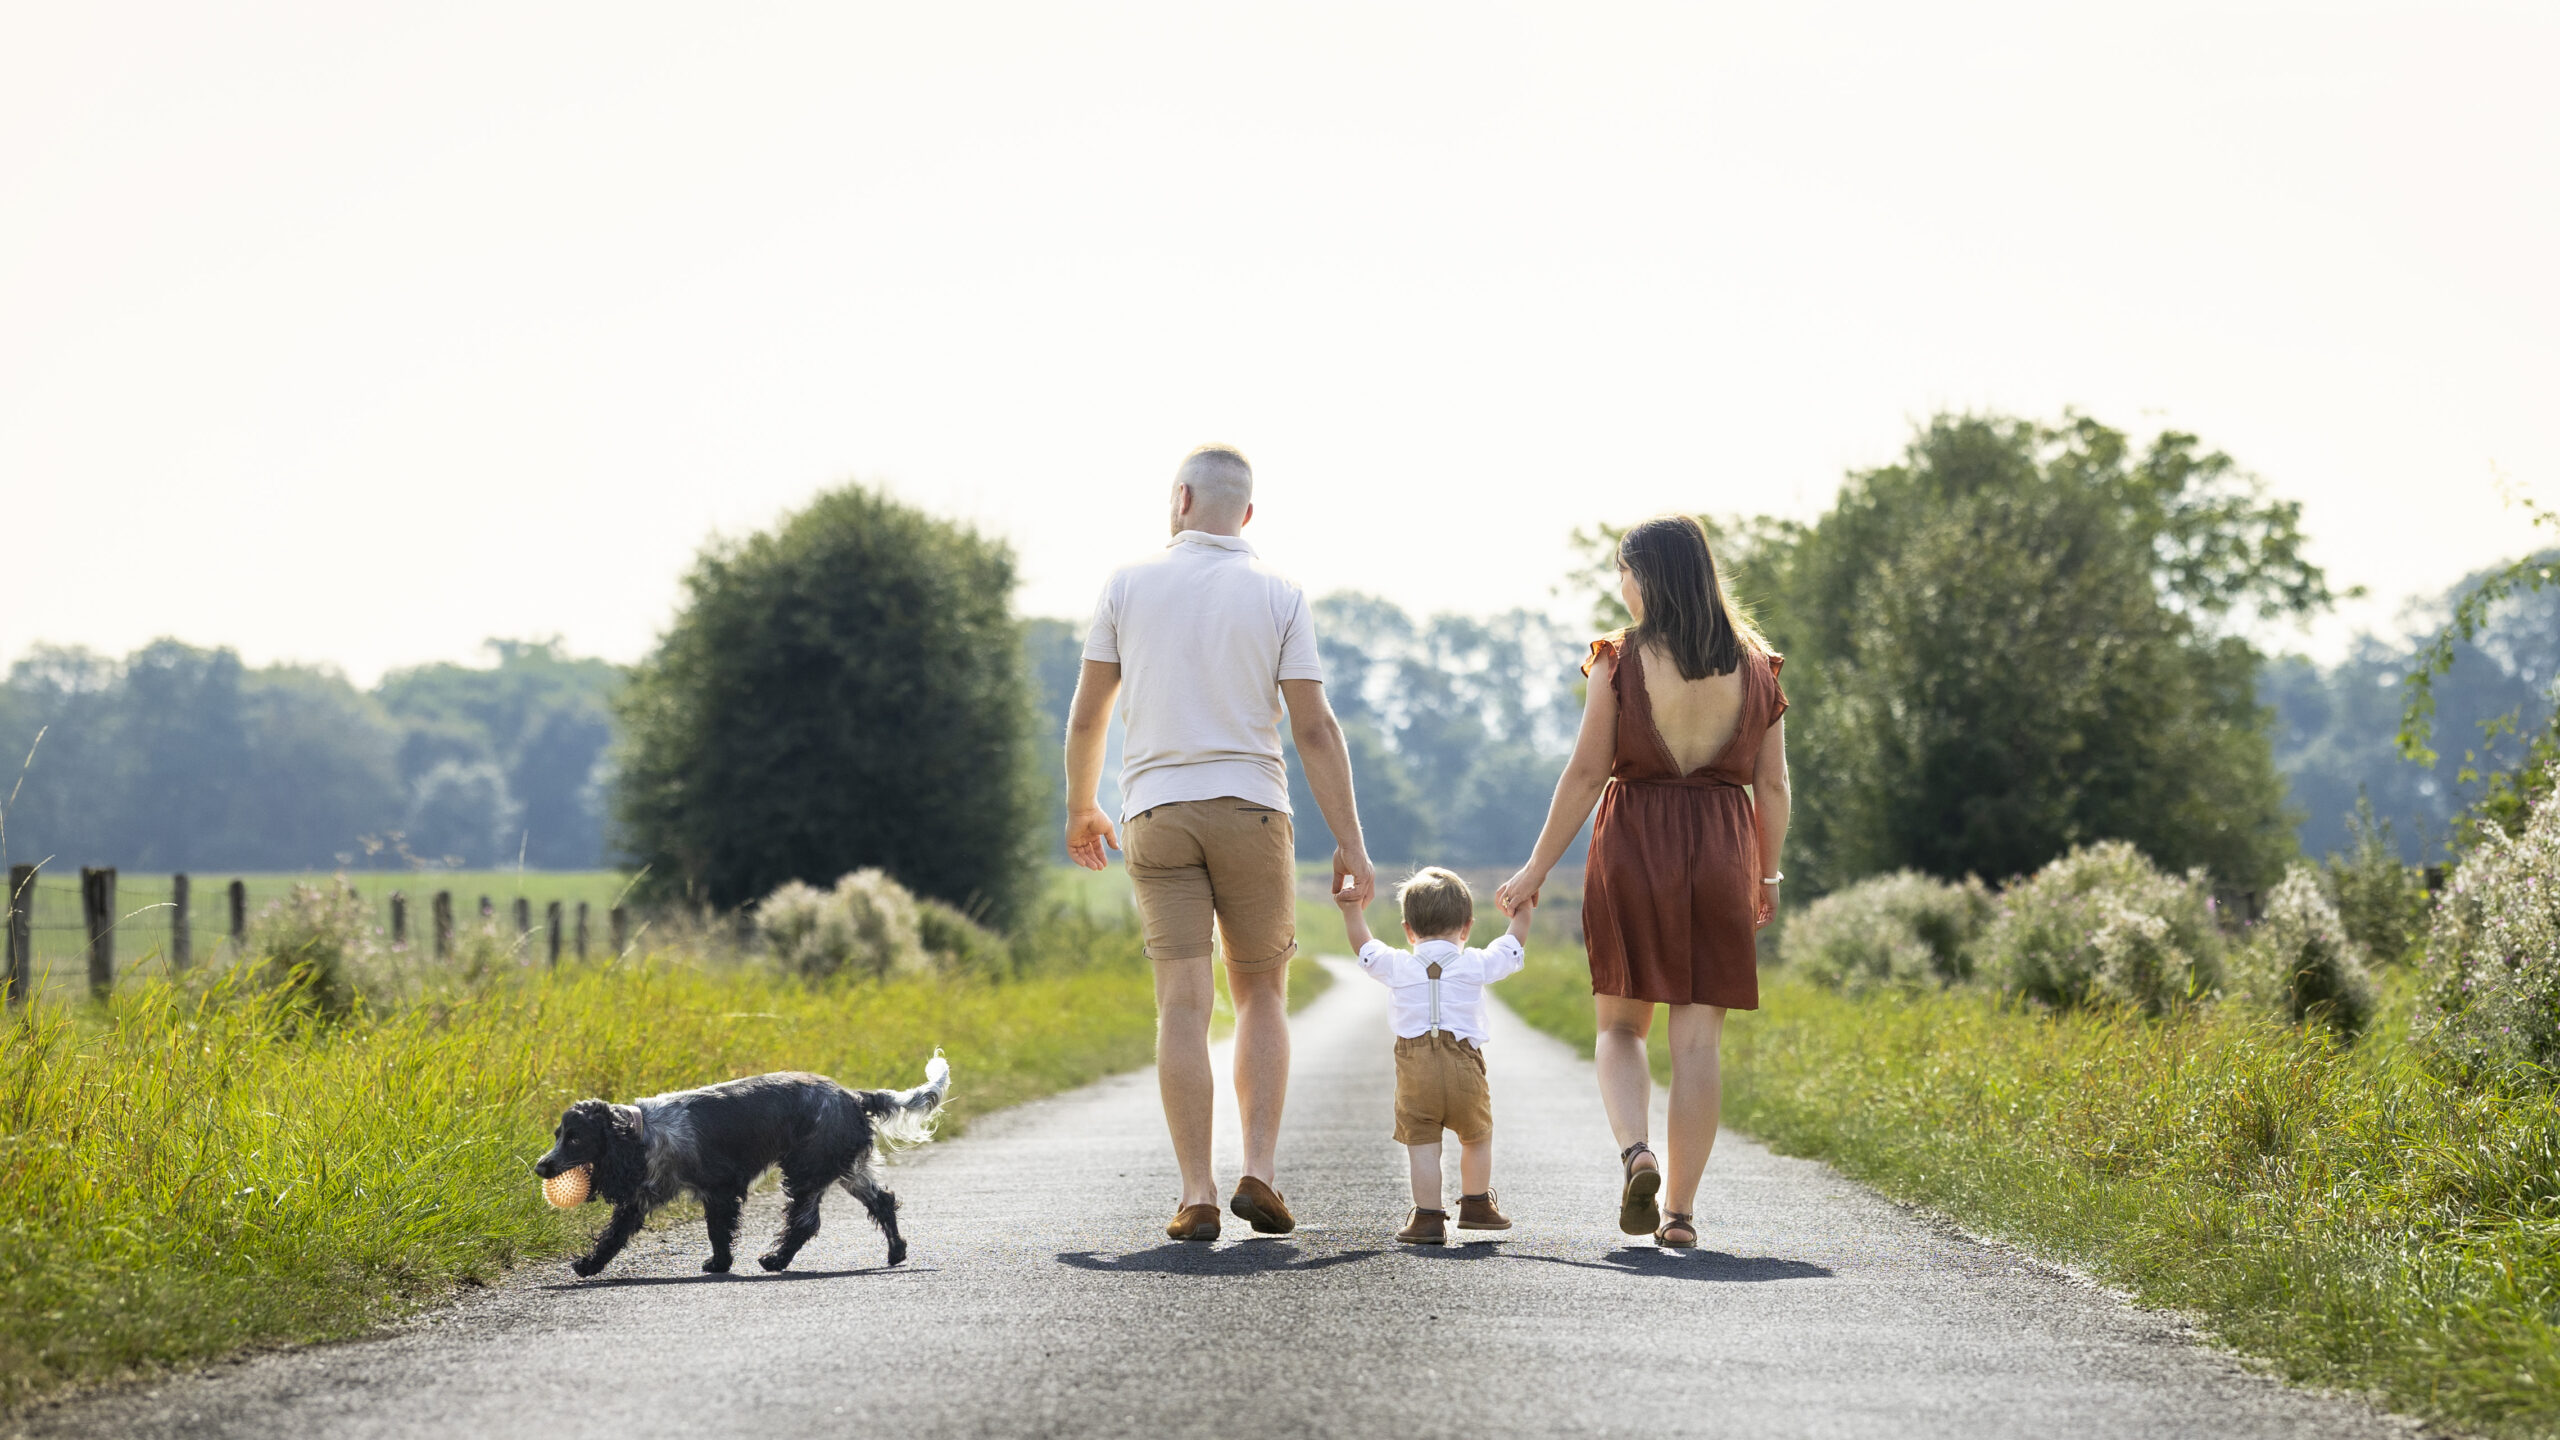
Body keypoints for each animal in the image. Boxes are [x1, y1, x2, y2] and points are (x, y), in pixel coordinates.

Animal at [535, 1050, 957, 1270]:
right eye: (558, 1135)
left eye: (575, 1138)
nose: (541, 1166)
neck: (644, 1133)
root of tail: (854, 1096)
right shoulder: (641, 1197)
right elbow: (613, 1235)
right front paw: (588, 1265)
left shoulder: (721, 1188)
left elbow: (717, 1230)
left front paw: (719, 1264)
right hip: (847, 1168)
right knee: (882, 1201)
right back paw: (896, 1252)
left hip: (806, 1168)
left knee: (805, 1222)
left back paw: (775, 1260)